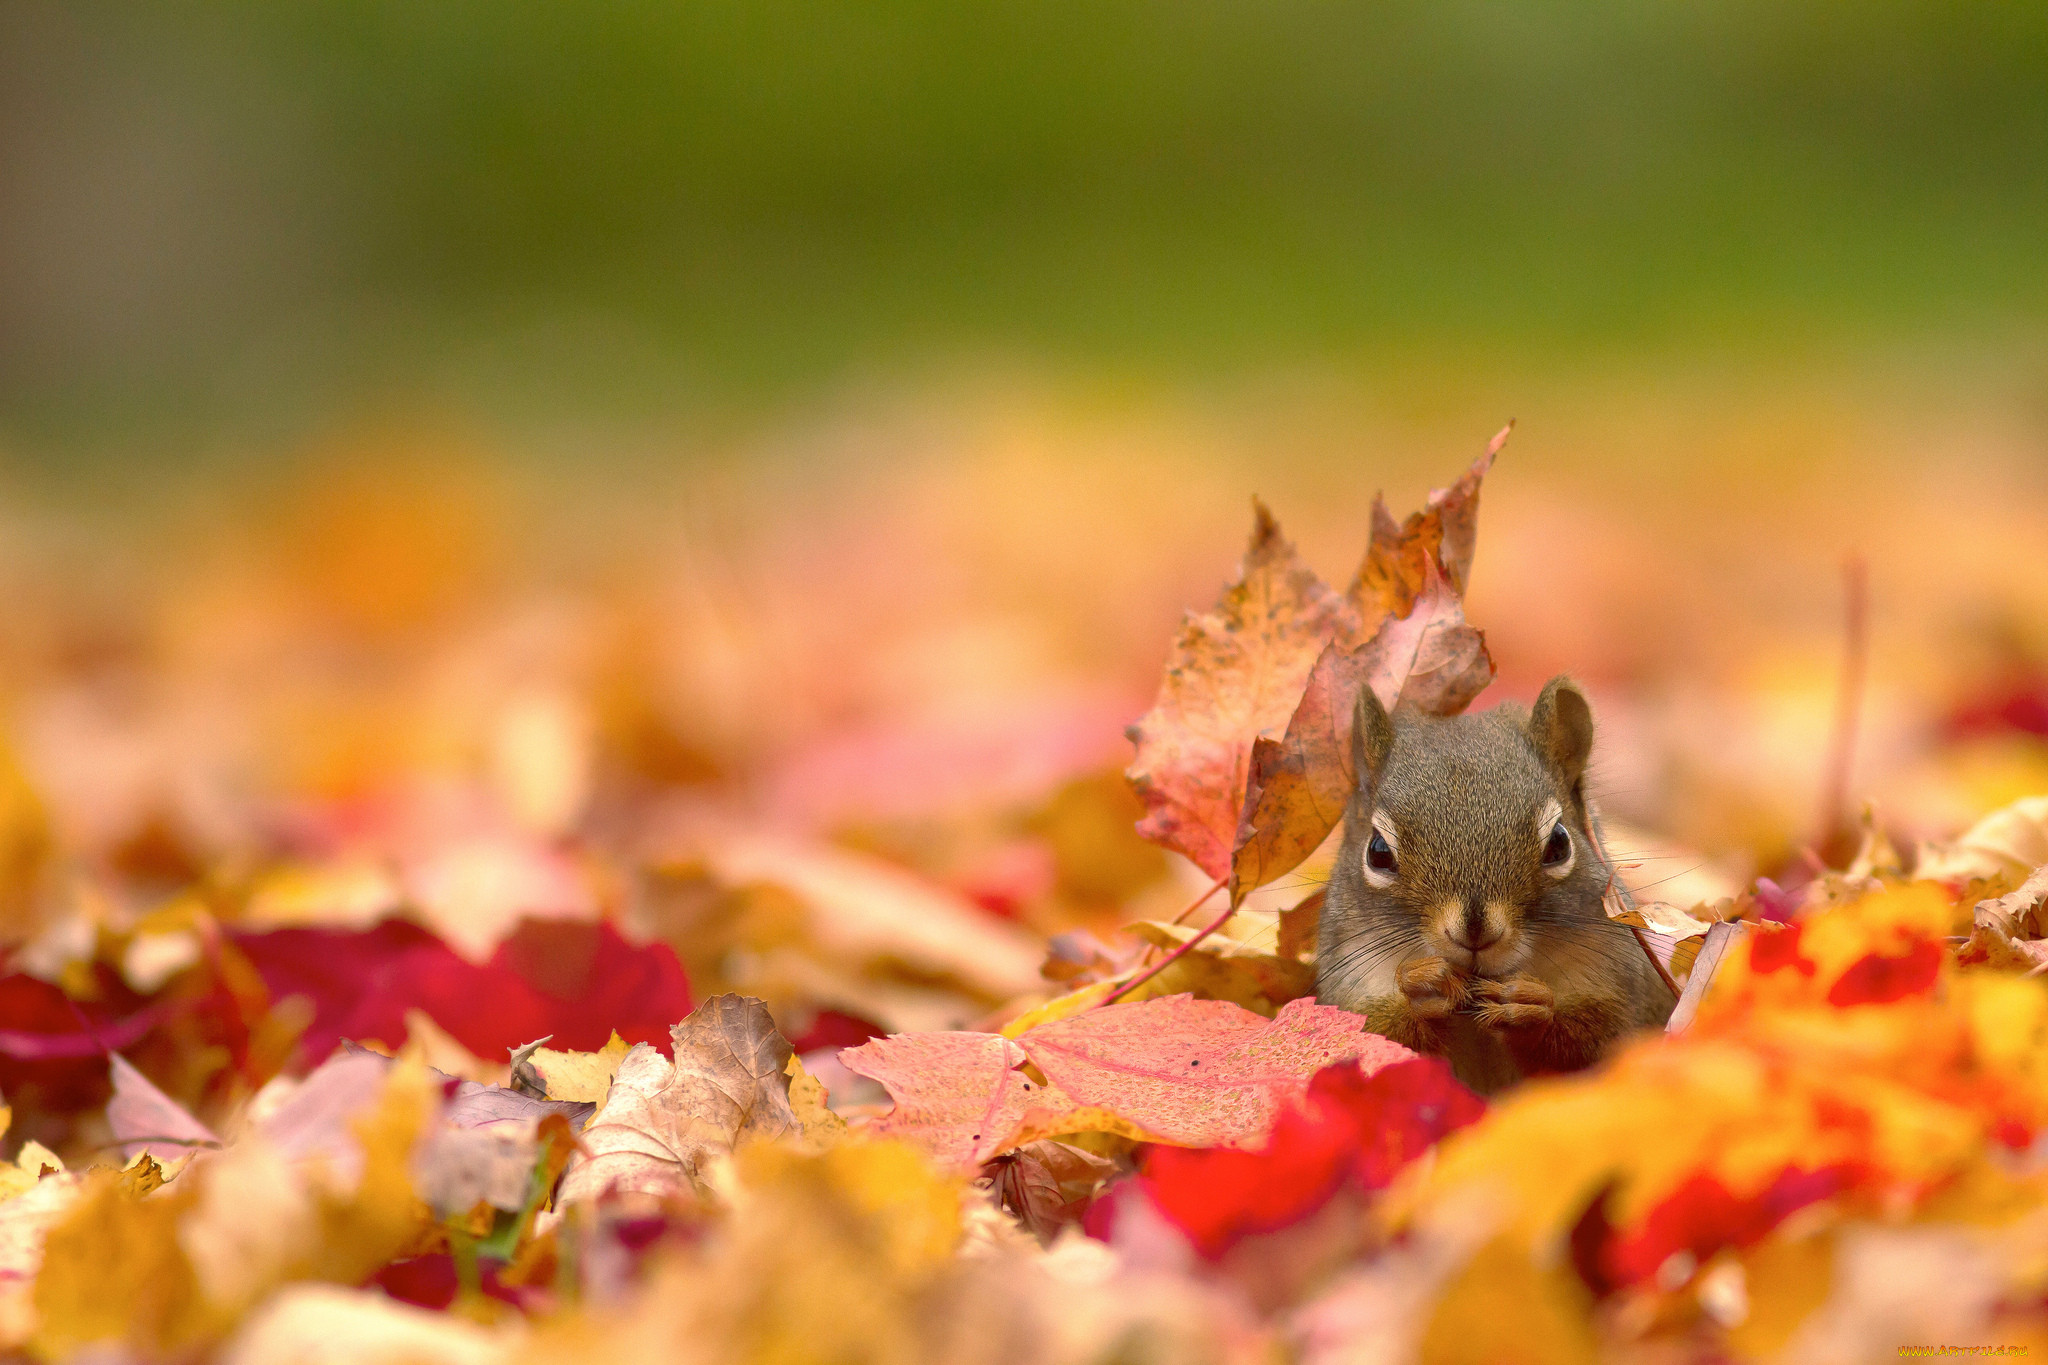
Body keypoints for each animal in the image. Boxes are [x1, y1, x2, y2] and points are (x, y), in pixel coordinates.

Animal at [1310, 679, 1679, 1096]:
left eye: (1559, 843)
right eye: (1377, 852)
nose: (1474, 930)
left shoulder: (1622, 986)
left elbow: (1602, 1039)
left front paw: (1530, 1008)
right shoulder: (1348, 990)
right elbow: (1377, 1038)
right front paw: (1422, 987)